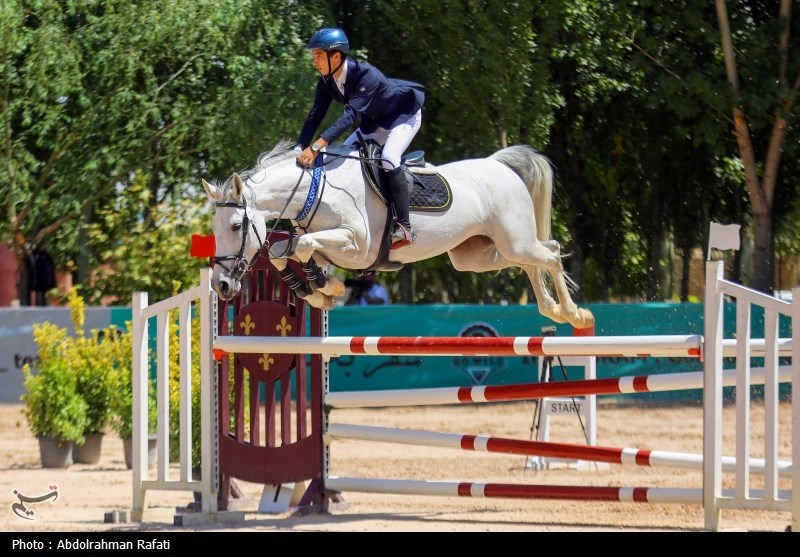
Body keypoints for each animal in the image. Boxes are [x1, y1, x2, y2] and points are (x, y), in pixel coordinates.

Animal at [202, 140, 592, 330]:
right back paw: (553, 309)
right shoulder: (330, 243)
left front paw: (328, 287)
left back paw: (574, 314)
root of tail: (499, 164)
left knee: (550, 254)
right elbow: (285, 250)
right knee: (540, 255)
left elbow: (302, 246)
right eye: (214, 230)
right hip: (477, 255)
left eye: (235, 227)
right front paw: (319, 291)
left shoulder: (356, 245)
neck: (316, 191)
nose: (221, 286)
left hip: (513, 241)